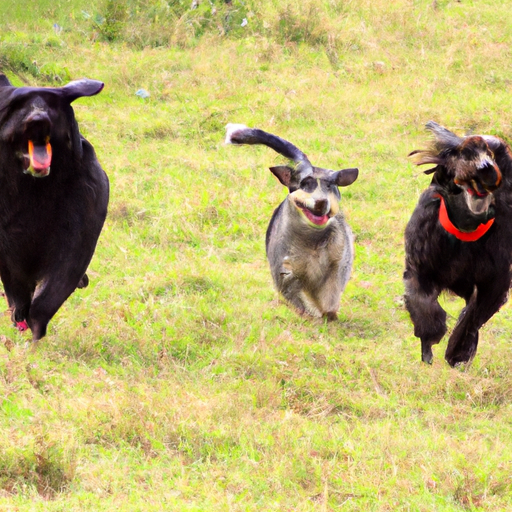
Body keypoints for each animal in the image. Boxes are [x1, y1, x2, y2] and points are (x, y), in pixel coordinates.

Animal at [0, 73, 109, 344]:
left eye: (52, 106)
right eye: (18, 107)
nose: (38, 119)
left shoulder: (78, 235)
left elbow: (50, 294)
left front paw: (35, 332)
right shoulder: (7, 250)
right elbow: (16, 291)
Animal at [404, 122, 512, 366]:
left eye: (492, 154)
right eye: (465, 153)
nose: (485, 168)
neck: (465, 231)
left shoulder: (495, 282)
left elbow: (473, 316)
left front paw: (457, 352)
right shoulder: (419, 268)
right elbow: (424, 305)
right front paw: (429, 343)